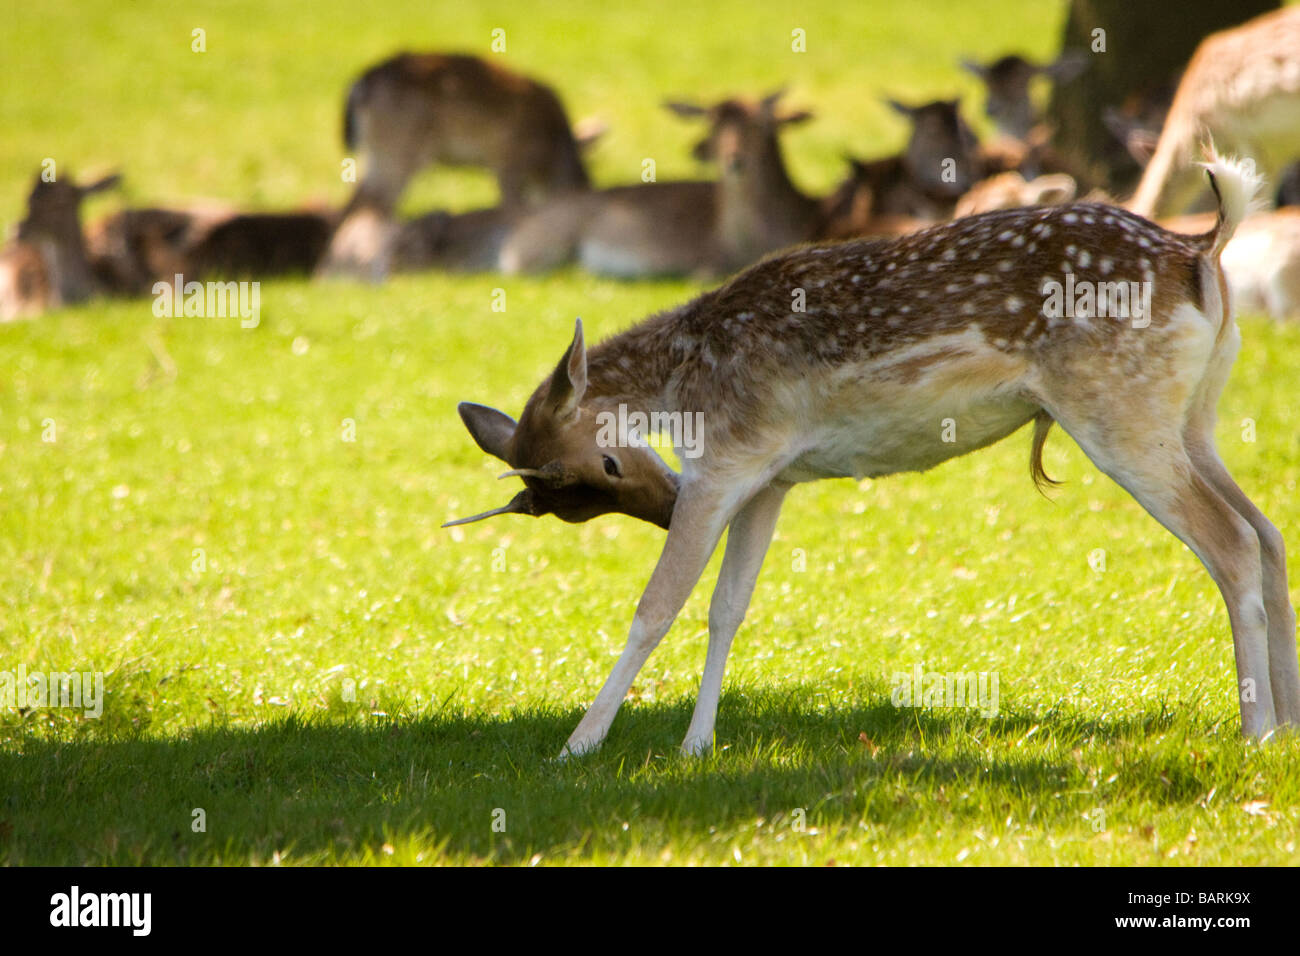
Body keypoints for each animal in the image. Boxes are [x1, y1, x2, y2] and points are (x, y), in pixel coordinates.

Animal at [441, 153, 1294, 759]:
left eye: (607, 468)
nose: (661, 504)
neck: (685, 376)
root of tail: (1201, 249)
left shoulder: (725, 460)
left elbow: (659, 606)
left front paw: (579, 744)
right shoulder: (770, 478)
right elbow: (728, 607)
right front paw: (696, 746)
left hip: (1121, 411)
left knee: (1229, 540)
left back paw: (1254, 731)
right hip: (1194, 415)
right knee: (1267, 532)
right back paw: (1284, 724)